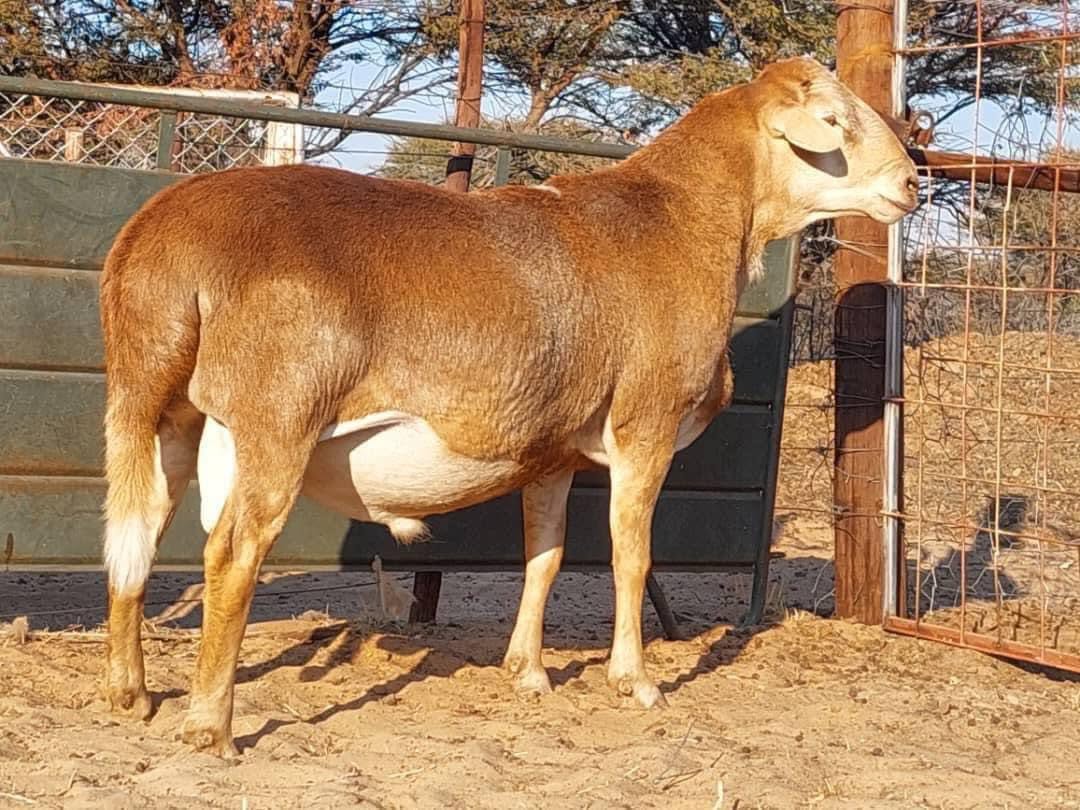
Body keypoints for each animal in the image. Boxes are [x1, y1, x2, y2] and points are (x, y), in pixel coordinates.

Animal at [99, 56, 918, 756]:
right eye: (835, 119)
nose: (912, 183)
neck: (683, 222)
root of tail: (163, 238)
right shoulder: (645, 423)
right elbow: (629, 554)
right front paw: (636, 681)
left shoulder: (553, 451)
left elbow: (544, 556)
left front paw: (527, 672)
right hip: (276, 419)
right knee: (231, 553)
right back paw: (211, 726)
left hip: (161, 411)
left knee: (135, 537)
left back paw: (131, 693)